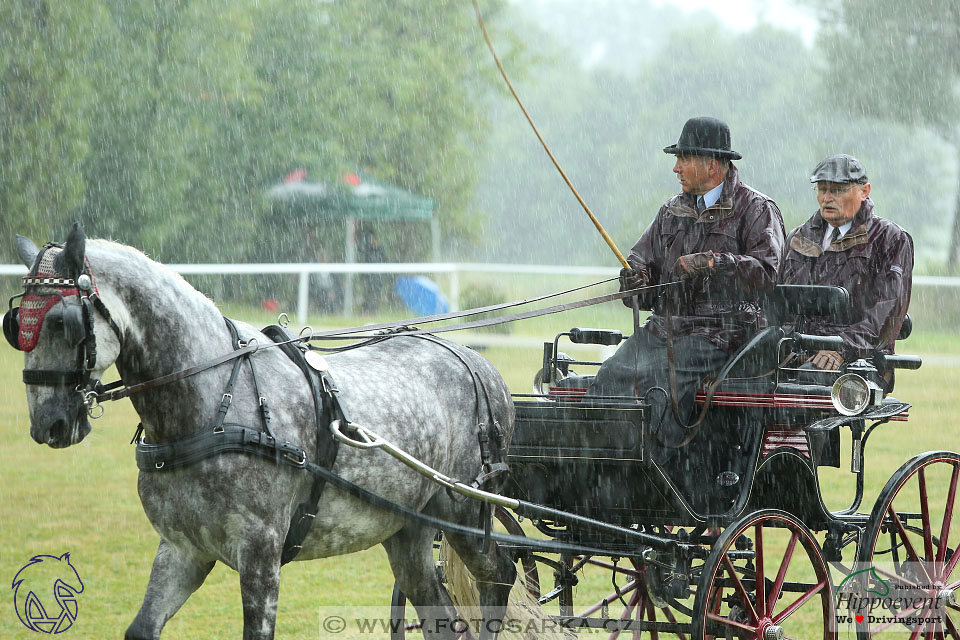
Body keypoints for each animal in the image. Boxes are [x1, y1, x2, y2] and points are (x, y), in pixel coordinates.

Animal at [9, 224, 516, 636]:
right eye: (14, 324)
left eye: (62, 321)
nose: (47, 424)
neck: (211, 404)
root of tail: (477, 361)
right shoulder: (183, 548)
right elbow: (142, 629)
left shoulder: (260, 553)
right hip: (409, 528)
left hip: (465, 512)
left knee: (501, 572)